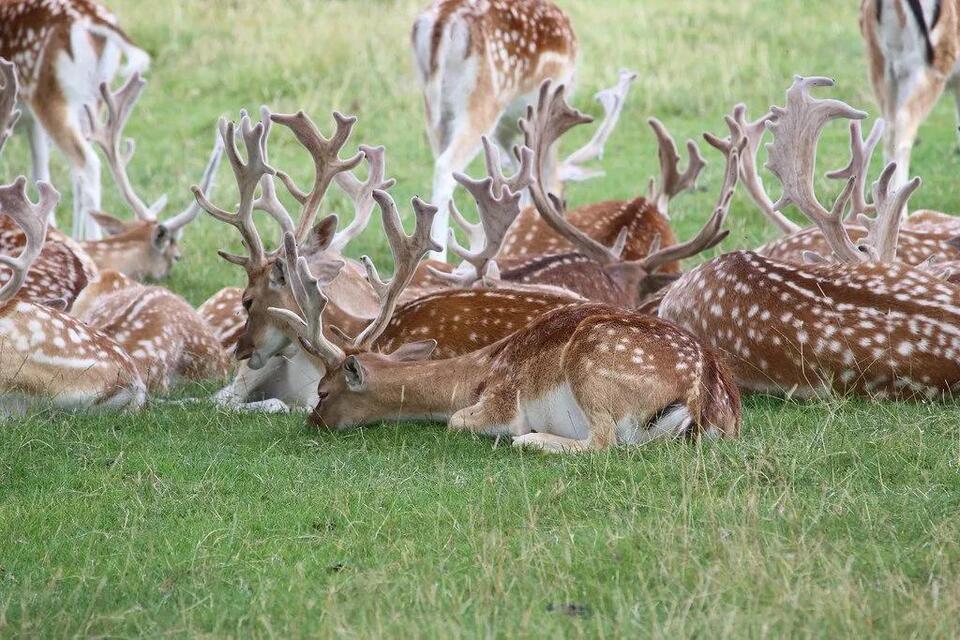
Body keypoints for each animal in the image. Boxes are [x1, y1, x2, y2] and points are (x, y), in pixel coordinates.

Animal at [0, 1, 150, 240]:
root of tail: (93, 19)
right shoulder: (32, 123)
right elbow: (40, 172)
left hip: (49, 96)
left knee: (88, 164)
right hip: (92, 101)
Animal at [267, 197, 741, 453]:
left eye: (323, 391)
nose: (311, 423)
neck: (472, 376)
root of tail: (705, 401)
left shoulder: (501, 402)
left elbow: (459, 421)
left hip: (594, 365)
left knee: (602, 442)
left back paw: (534, 441)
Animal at [412, 0, 582, 256]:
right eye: (564, 202)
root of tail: (445, 17)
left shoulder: (508, 128)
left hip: (434, 106)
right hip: (484, 98)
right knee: (445, 166)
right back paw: (437, 256)